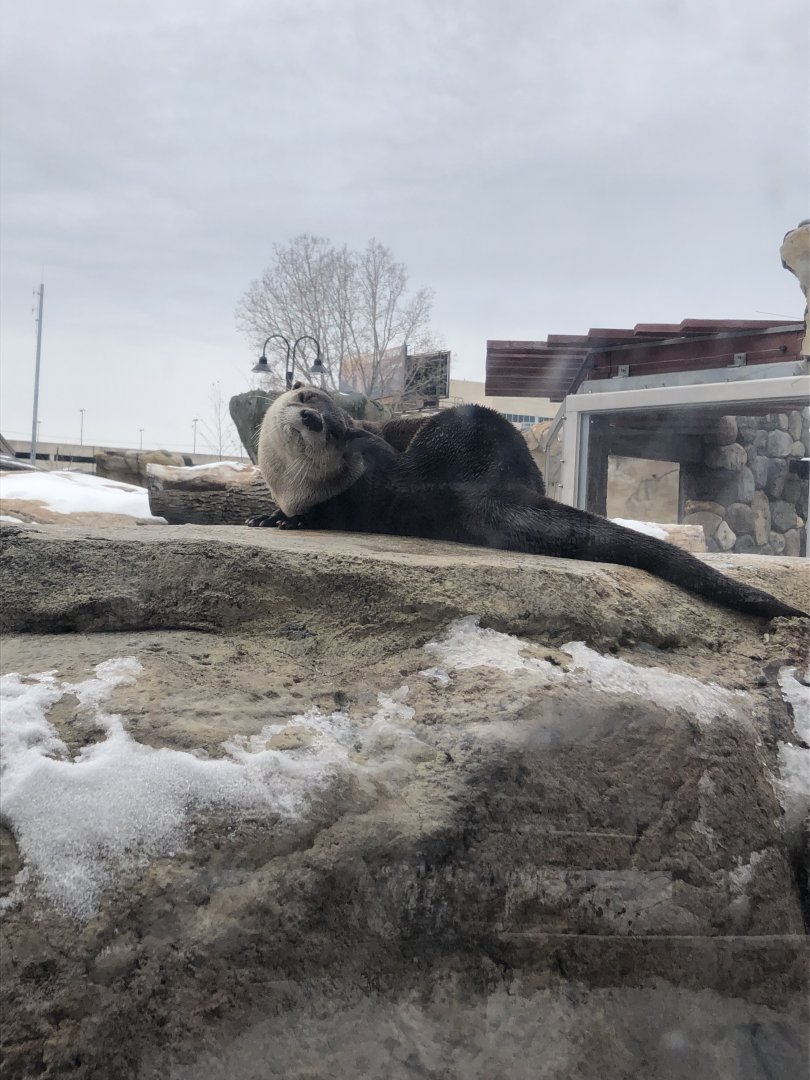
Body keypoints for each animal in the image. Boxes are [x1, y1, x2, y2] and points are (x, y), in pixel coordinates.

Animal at [250, 384, 806, 620]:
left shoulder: (344, 493)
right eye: (306, 399)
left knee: (406, 467)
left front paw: (290, 521)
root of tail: (490, 480)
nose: (314, 420)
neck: (291, 482)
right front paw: (264, 515)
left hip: (452, 433)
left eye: (328, 422)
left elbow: (329, 511)